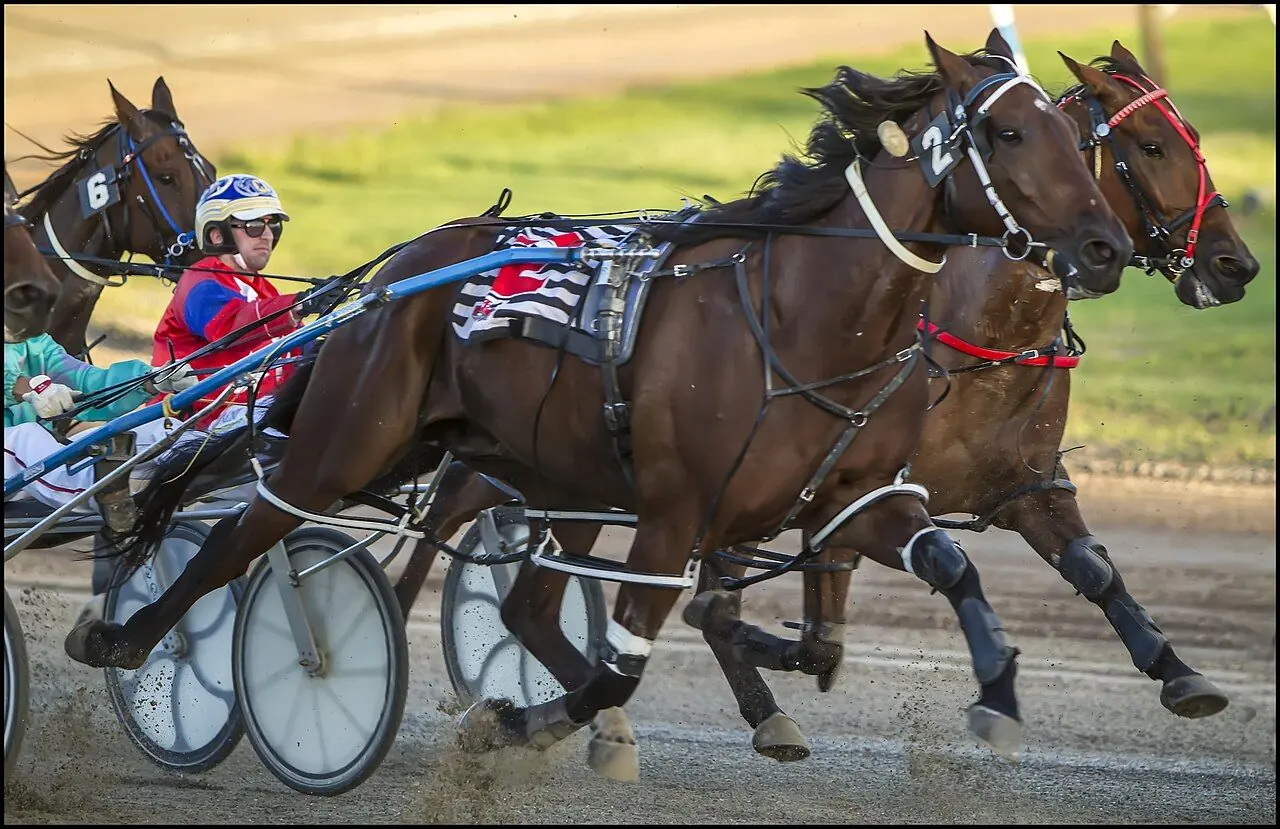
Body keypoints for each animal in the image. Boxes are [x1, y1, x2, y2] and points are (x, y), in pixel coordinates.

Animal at [72, 30, 1133, 775]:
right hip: (347, 442)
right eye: (1008, 131)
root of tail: (402, 270)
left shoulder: (851, 499)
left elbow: (951, 565)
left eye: (1071, 133)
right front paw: (530, 719)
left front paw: (997, 692)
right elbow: (627, 654)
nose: (1106, 245)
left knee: (527, 601)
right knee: (239, 532)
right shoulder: (673, 515)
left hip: (547, 474)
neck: (798, 316)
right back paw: (131, 636)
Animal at [390, 40, 1262, 762]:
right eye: (1149, 148)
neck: (972, 327)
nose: (1237, 265)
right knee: (448, 521)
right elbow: (782, 618)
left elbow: (1093, 567)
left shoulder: (1019, 483)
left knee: (523, 592)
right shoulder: (824, 496)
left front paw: (1179, 671)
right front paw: (762, 670)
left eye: (1190, 136)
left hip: (576, 476)